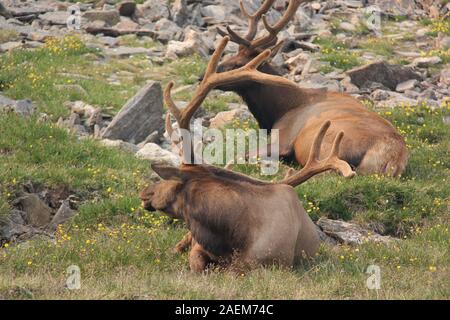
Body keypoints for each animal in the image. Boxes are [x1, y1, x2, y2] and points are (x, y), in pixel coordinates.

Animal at [210, 0, 408, 176]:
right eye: (232, 56)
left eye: (239, 64)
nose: (209, 73)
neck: (278, 110)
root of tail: (392, 158)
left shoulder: (283, 138)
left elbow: (238, 155)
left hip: (329, 145)